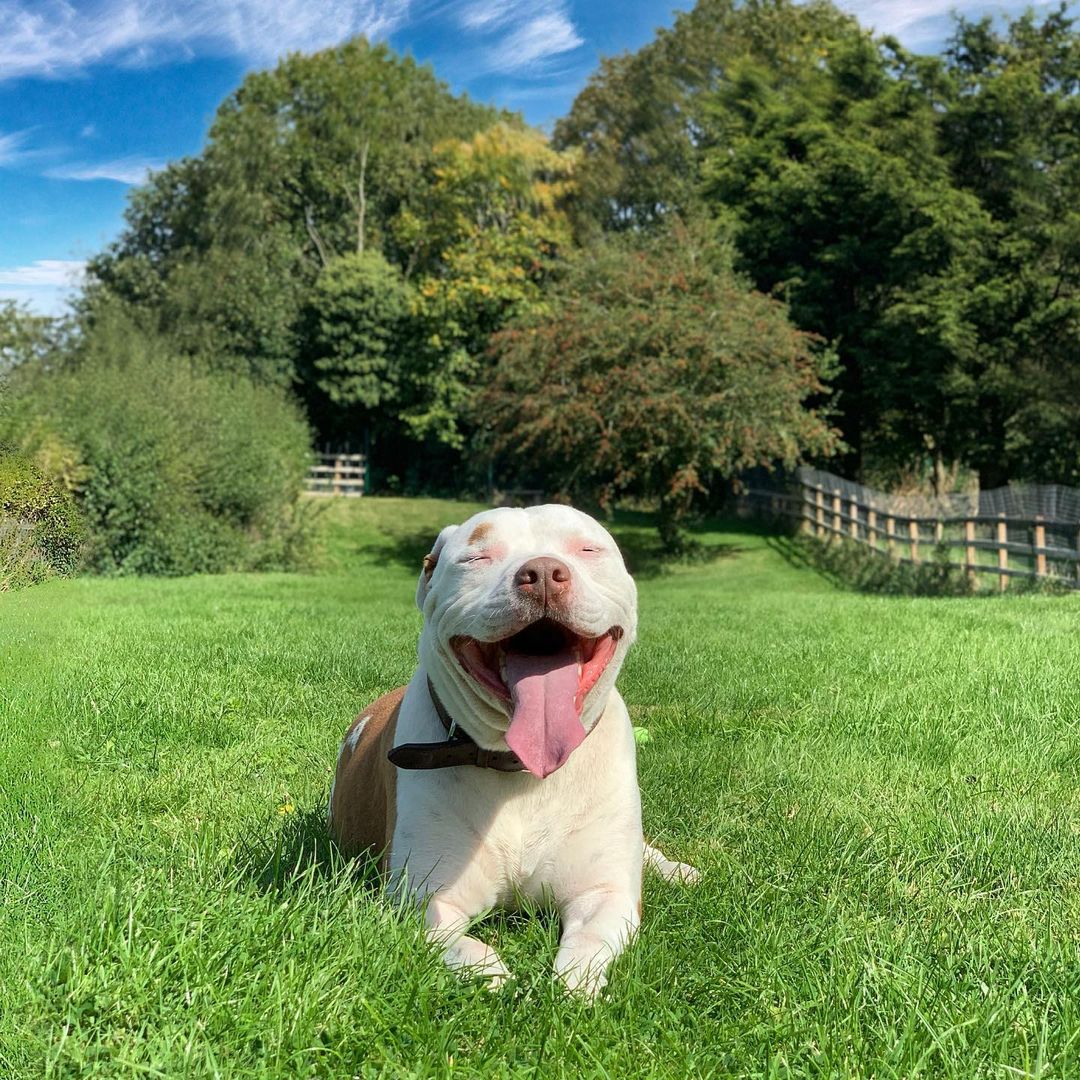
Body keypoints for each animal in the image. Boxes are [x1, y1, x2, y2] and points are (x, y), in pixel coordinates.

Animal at [324, 503, 695, 993]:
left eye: (587, 549)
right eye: (476, 557)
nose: (543, 572)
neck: (520, 771)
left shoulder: (604, 892)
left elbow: (588, 946)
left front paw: (571, 988)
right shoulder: (422, 895)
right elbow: (460, 945)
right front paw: (494, 975)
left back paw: (674, 869)